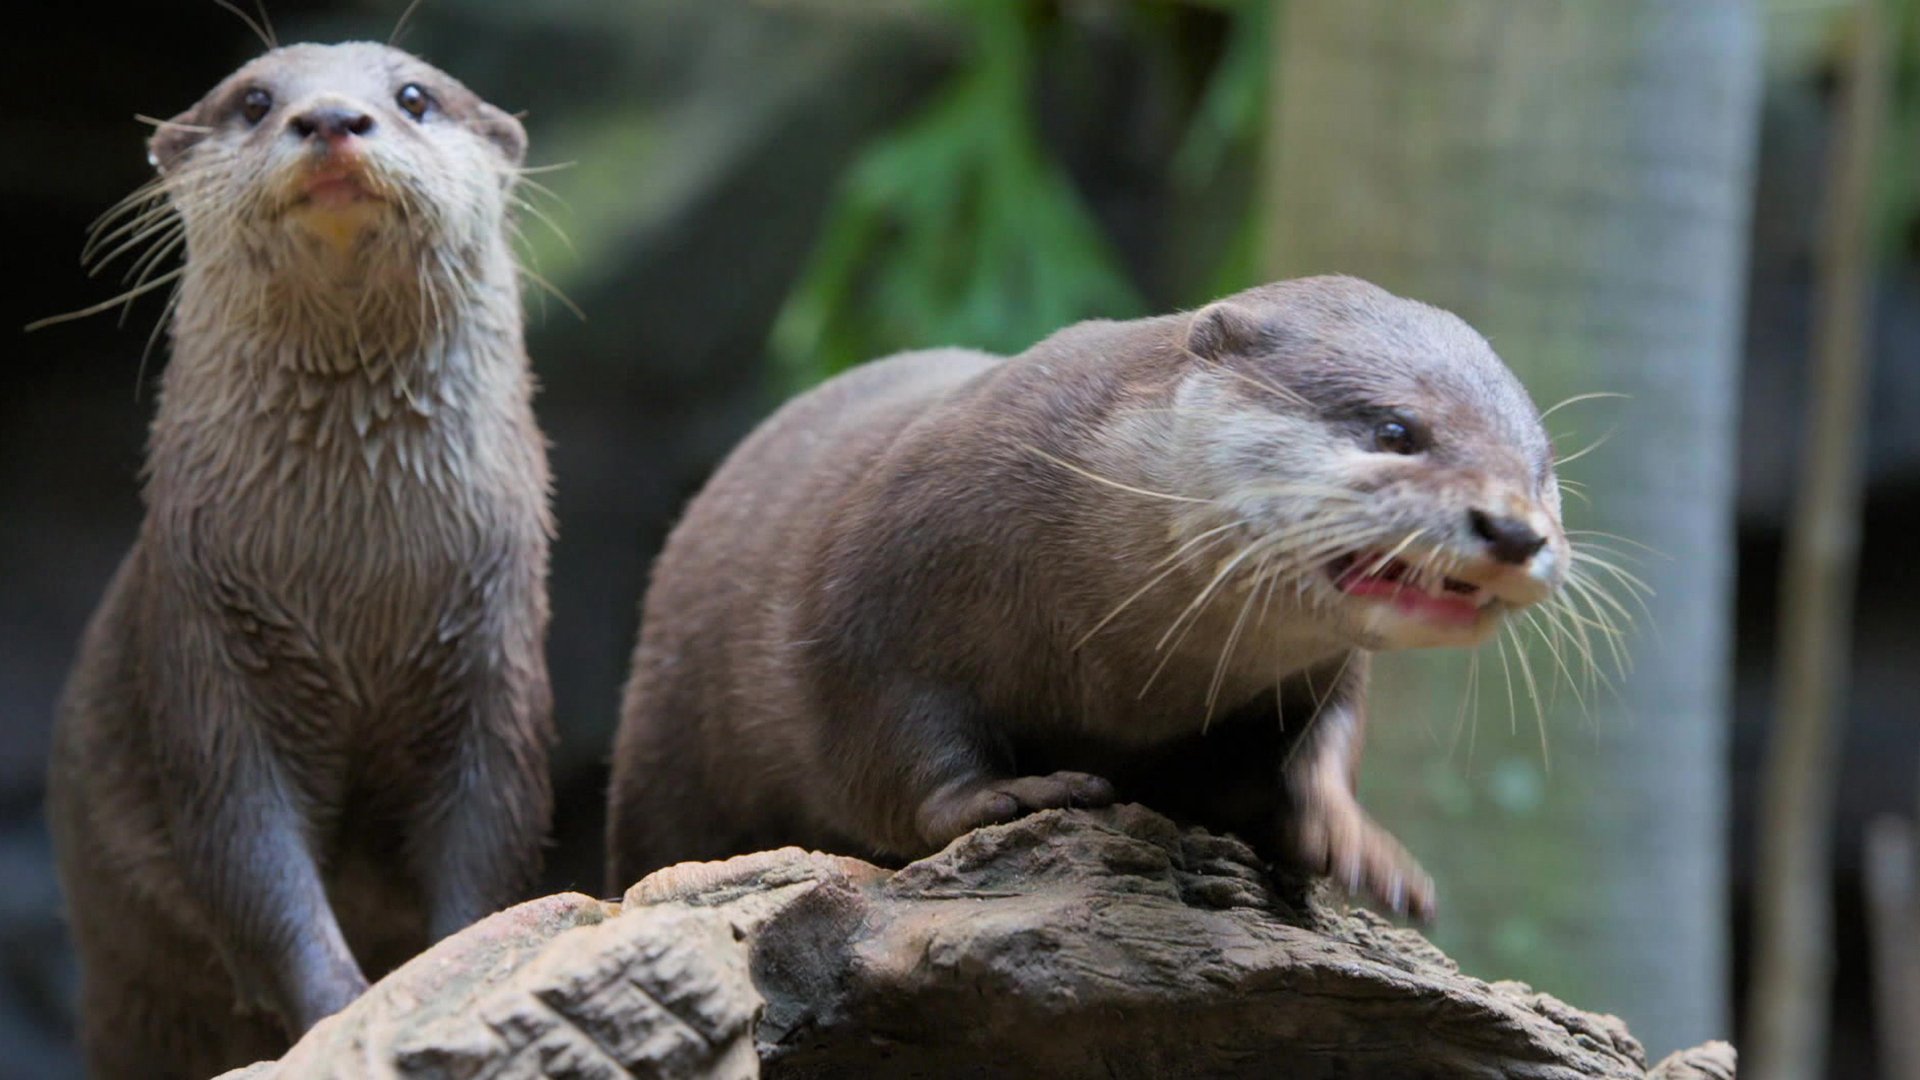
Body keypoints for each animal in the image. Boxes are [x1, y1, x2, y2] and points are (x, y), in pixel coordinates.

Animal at [46, 43, 553, 1077]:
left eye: (412, 96)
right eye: (253, 100)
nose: (328, 118)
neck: (356, 587)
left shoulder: (496, 656)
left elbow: (489, 839)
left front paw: (459, 968)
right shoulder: (206, 653)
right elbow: (249, 854)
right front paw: (340, 1009)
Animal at [607, 277, 1568, 919]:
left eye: (1543, 467)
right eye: (1396, 430)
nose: (1515, 530)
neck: (1118, 669)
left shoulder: (1316, 671)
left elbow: (1323, 744)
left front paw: (1359, 843)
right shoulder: (868, 596)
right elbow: (885, 745)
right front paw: (1013, 796)